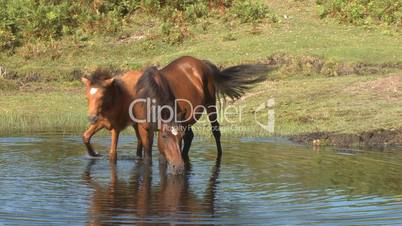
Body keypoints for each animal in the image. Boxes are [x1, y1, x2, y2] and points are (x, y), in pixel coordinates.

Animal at [135, 55, 274, 174]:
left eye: (179, 137)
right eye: (164, 136)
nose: (179, 167)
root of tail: (201, 63)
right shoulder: (145, 130)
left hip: (210, 104)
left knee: (215, 131)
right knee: (190, 137)